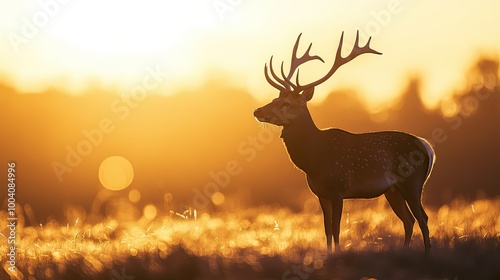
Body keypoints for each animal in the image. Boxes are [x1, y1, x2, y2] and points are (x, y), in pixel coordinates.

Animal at [254, 31, 434, 254]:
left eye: (286, 103)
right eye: (274, 99)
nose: (257, 111)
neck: (314, 160)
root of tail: (427, 147)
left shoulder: (338, 187)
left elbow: (337, 227)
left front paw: (337, 254)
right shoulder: (320, 193)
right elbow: (327, 229)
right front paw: (329, 254)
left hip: (413, 182)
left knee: (423, 218)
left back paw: (427, 254)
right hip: (392, 190)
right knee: (409, 220)